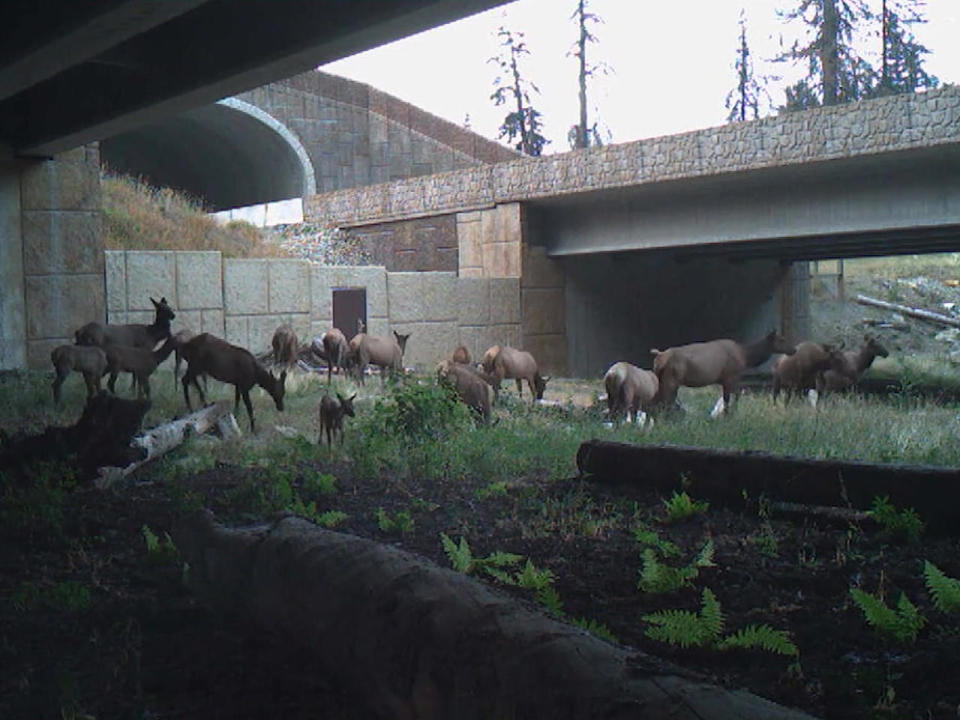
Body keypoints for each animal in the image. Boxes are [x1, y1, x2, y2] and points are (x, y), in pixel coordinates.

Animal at [652, 328, 796, 414]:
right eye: (781, 339)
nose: (793, 349)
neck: (745, 357)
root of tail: (658, 358)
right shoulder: (731, 375)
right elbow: (732, 396)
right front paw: (730, 415)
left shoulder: (723, 379)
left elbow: (729, 396)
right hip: (672, 379)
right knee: (666, 401)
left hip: (662, 379)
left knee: (660, 401)